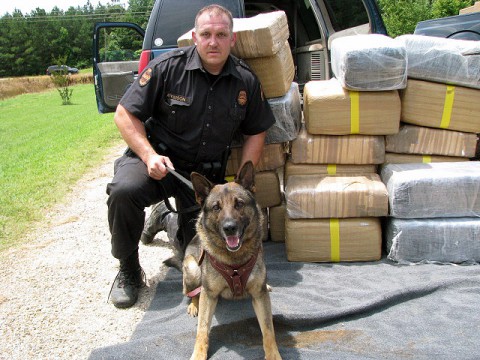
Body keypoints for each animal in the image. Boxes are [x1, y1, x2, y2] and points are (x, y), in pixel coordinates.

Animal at [183, 161, 282, 360]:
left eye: (239, 204)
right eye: (216, 207)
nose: (230, 228)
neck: (235, 261)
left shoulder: (259, 296)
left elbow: (268, 330)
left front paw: (273, 355)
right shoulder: (209, 294)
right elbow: (202, 330)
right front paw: (198, 354)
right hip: (191, 268)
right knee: (193, 292)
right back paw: (193, 305)